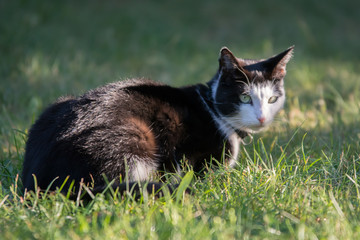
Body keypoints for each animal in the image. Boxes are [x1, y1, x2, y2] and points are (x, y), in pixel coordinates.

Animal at [21, 46, 292, 197]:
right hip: (135, 135)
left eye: (272, 99)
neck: (212, 107)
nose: (262, 117)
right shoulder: (196, 157)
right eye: (245, 97)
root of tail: (40, 182)